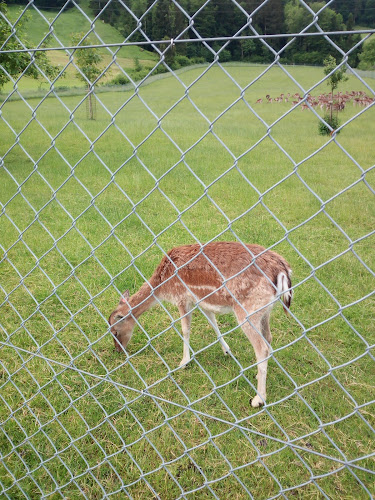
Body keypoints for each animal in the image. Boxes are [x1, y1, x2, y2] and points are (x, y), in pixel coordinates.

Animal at [108, 240, 294, 408]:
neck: (162, 283)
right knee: (268, 338)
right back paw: (257, 375)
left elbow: (185, 330)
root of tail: (283, 270)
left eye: (115, 331)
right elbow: (213, 323)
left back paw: (258, 399)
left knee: (262, 347)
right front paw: (226, 350)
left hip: (248, 310)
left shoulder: (182, 297)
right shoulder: (203, 301)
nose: (118, 350)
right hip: (265, 310)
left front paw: (183, 362)